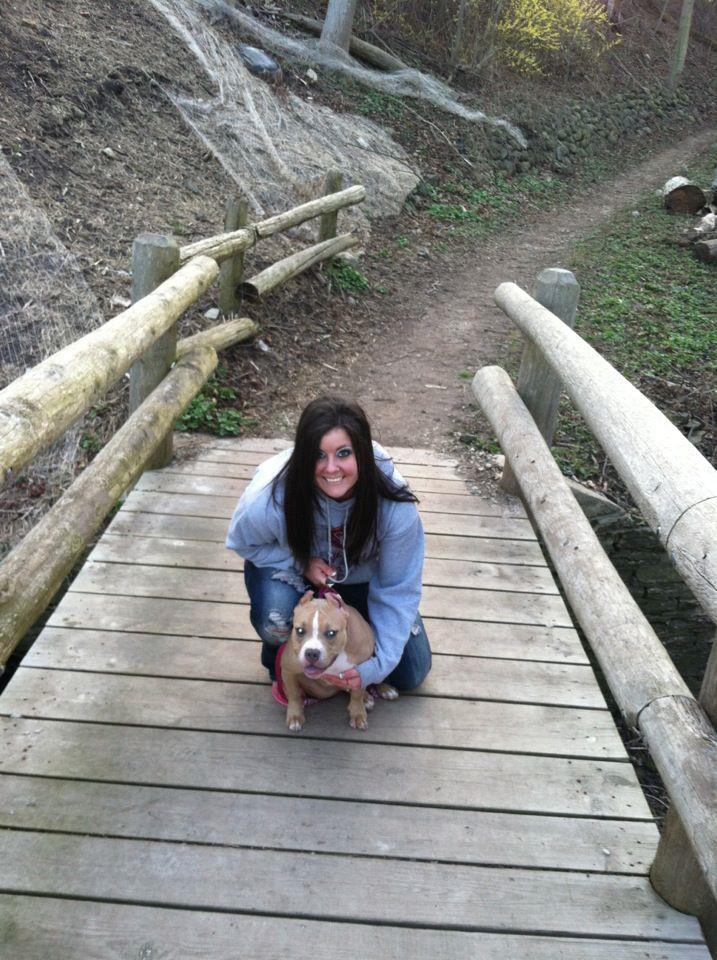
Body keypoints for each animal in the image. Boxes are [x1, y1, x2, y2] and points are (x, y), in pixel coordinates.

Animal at [278, 588, 394, 732]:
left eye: (331, 633)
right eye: (300, 630)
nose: (311, 653)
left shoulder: (361, 672)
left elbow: (357, 694)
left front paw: (357, 714)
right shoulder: (288, 670)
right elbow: (294, 695)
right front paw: (295, 716)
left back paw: (382, 691)